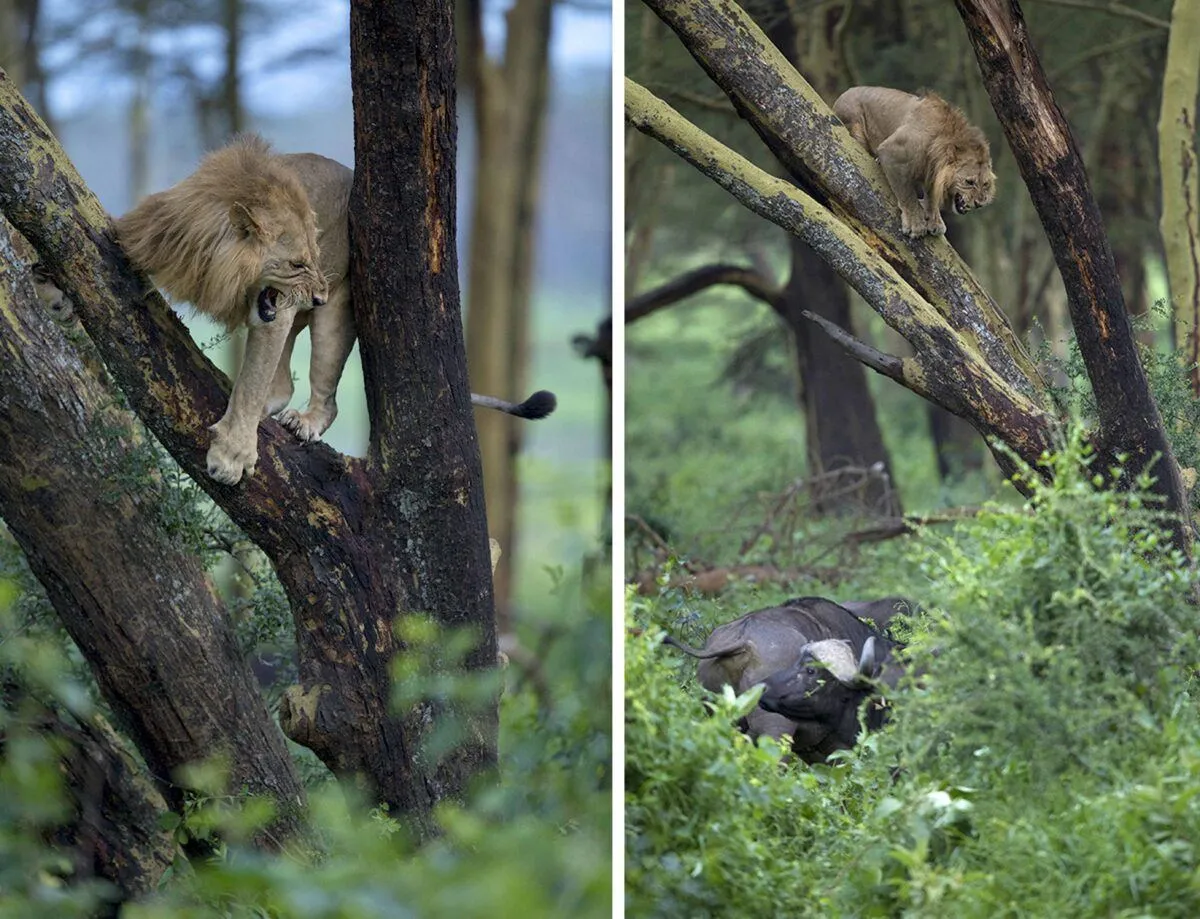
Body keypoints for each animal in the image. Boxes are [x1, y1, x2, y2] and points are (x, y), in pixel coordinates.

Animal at [115, 135, 555, 485]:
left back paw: (302, 421)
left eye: (314, 253)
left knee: (324, 398)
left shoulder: (276, 314)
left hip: (338, 314)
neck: (213, 268)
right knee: (282, 385)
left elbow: (251, 385)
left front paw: (232, 456)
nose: (318, 297)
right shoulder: (148, 236)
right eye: (296, 262)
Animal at [832, 86, 996, 238]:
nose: (980, 204)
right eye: (969, 182)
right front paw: (915, 224)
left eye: (985, 184)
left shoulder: (932, 173)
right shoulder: (891, 152)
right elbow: (907, 194)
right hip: (855, 124)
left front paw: (935, 221)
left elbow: (932, 196)